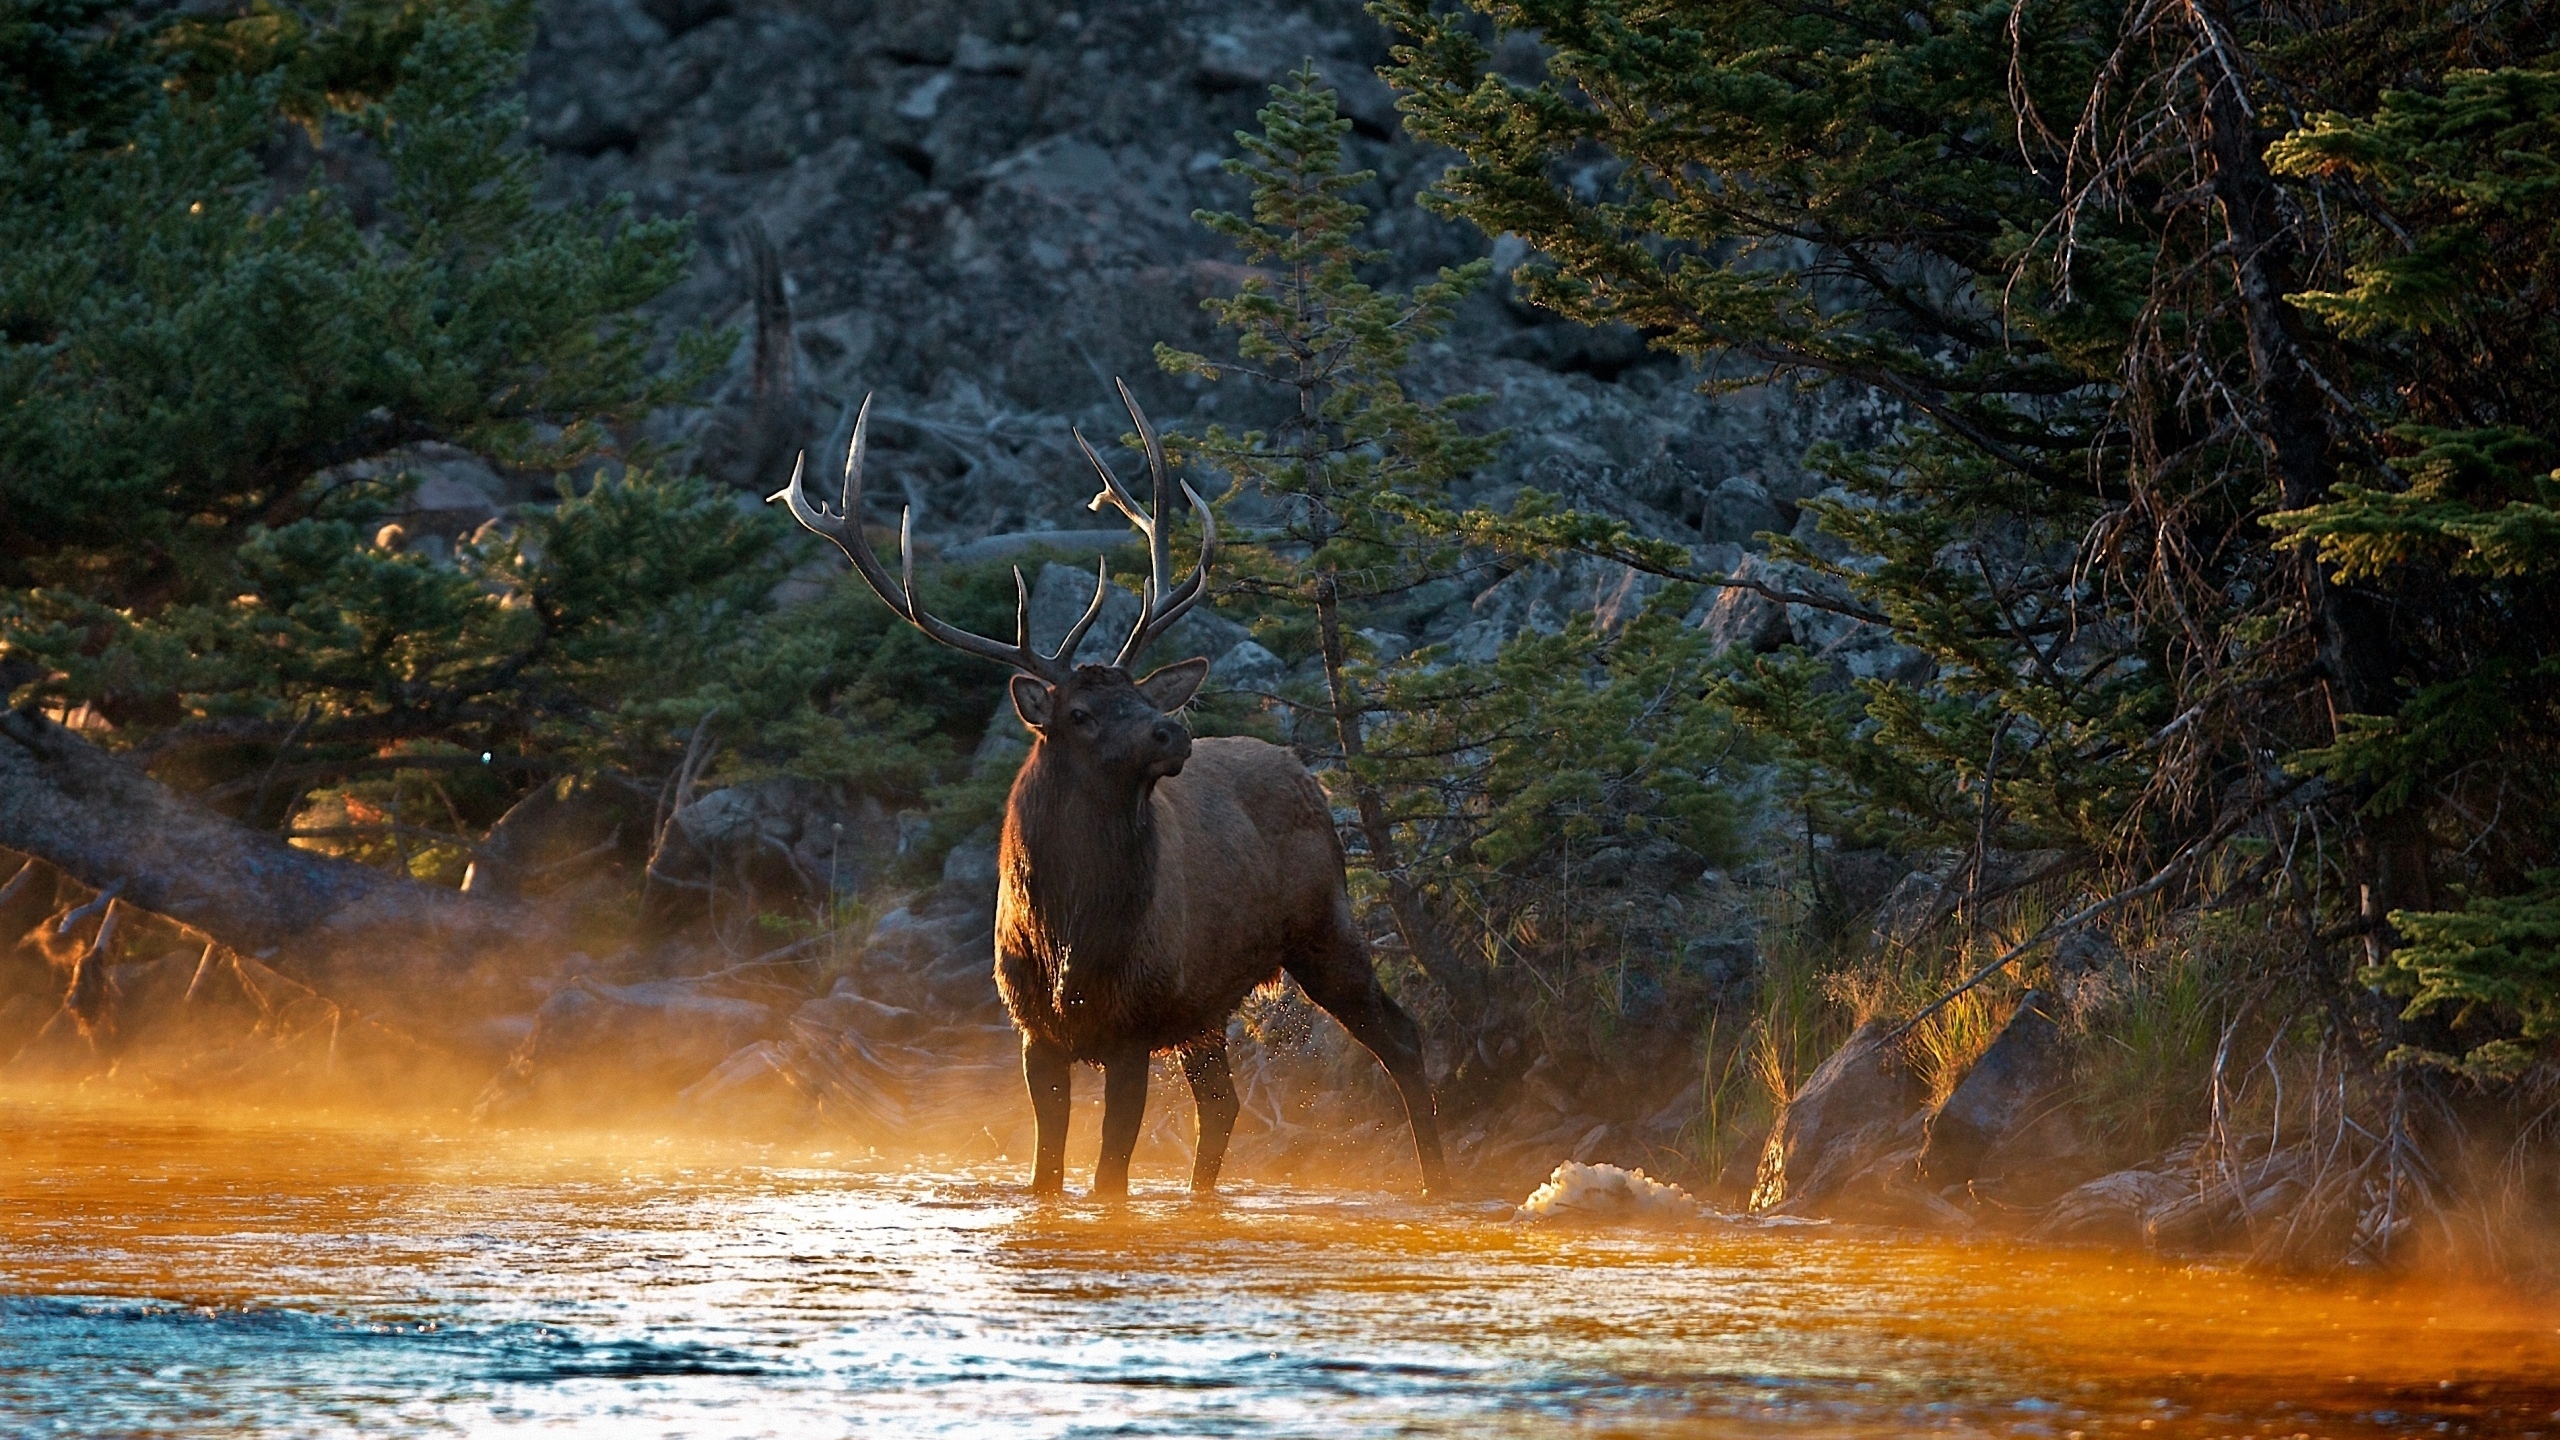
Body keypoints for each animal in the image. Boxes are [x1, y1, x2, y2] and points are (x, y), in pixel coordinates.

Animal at [772, 382, 1451, 1200]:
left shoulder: (1134, 1024)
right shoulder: (1035, 1030)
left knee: (1402, 1036)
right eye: (1081, 713)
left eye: (1138, 694)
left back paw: (1439, 1183)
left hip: (1325, 924)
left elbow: (1108, 1178)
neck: (1071, 936)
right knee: (1223, 1104)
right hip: (1206, 1002)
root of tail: (1307, 774)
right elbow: (1047, 1173)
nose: (1171, 731)